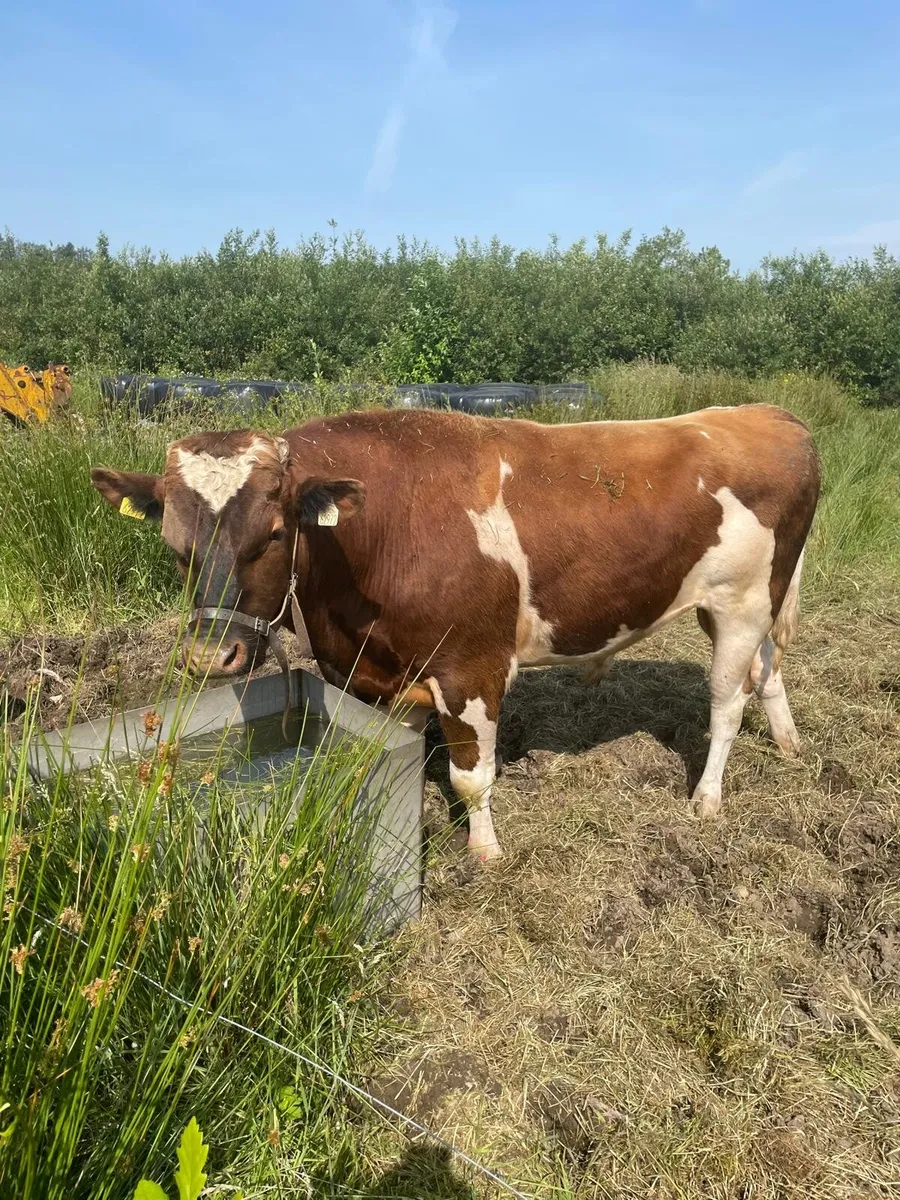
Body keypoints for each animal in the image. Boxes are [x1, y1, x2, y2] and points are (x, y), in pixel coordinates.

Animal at [90, 403, 820, 861]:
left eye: (272, 535)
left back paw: (707, 799)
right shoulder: (379, 674)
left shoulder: (473, 668)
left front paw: (485, 850)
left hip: (742, 602)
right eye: (171, 542)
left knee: (727, 701)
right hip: (747, 601)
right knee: (769, 669)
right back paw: (788, 745)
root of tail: (765, 413)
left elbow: (472, 777)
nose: (212, 654)